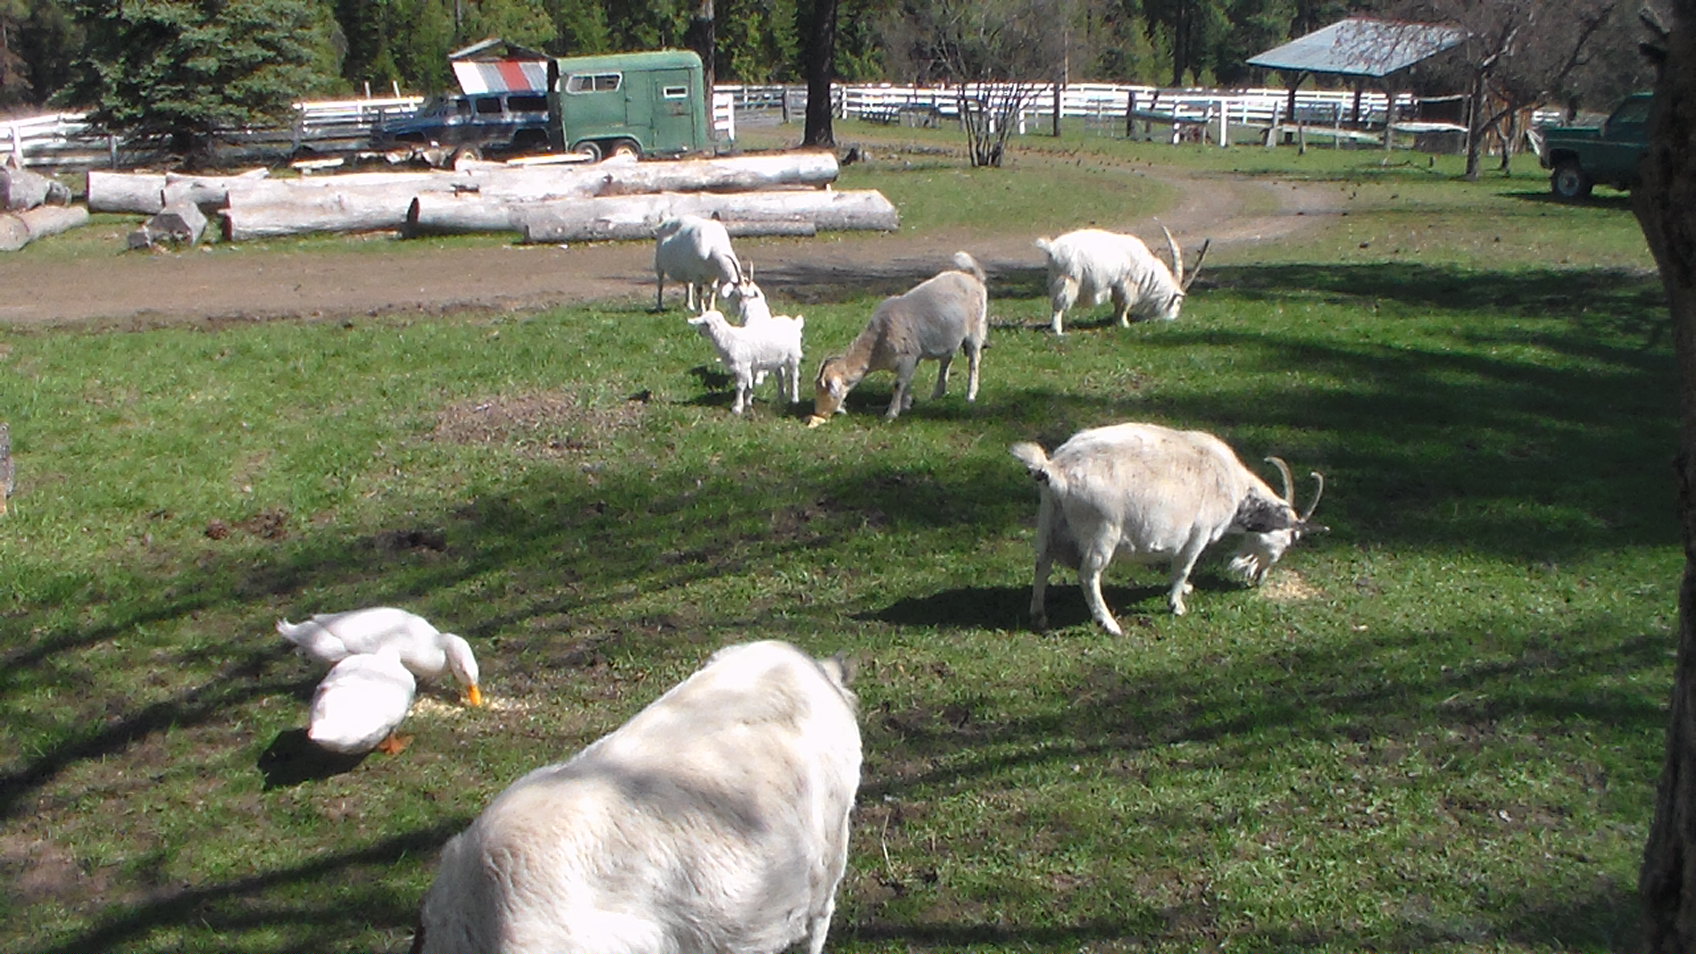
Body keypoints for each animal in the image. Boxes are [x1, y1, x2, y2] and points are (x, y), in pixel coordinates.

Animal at [808, 251, 988, 426]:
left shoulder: (908, 356)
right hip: (948, 334)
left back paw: (970, 395)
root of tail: (973, 276)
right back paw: (938, 393)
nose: (819, 413)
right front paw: (906, 405)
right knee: (947, 360)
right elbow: (906, 383)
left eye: (826, 390)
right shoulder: (911, 359)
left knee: (974, 361)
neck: (877, 345)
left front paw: (891, 414)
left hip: (976, 328)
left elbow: (898, 384)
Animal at [1010, 422, 1323, 631]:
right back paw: (1109, 624)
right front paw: (1177, 605)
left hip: (1049, 518)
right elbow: (1183, 566)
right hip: (1102, 531)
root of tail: (1056, 469)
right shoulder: (1198, 534)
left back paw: (1038, 616)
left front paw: (1184, 590)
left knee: (1042, 563)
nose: (1259, 579)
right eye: (1286, 541)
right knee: (1088, 576)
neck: (1233, 487)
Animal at [1033, 225, 1209, 334]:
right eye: (1178, 301)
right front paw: (1125, 324)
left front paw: (1117, 322)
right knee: (1058, 307)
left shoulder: (1116, 287)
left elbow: (1118, 305)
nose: (1172, 319)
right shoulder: (1128, 286)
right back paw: (1058, 332)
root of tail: (1052, 247)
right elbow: (1125, 305)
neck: (1148, 270)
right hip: (1068, 281)